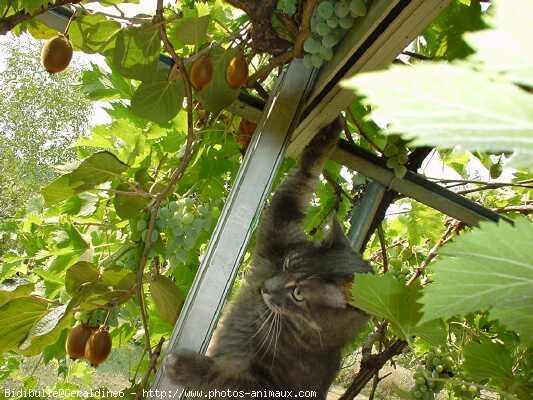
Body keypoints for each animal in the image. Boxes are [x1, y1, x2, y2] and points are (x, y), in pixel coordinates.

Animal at [165, 120, 370, 398]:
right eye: (287, 263)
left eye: (298, 294)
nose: (264, 288)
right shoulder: (280, 227)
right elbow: (301, 180)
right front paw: (328, 137)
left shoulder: (275, 387)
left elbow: (225, 378)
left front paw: (186, 367)